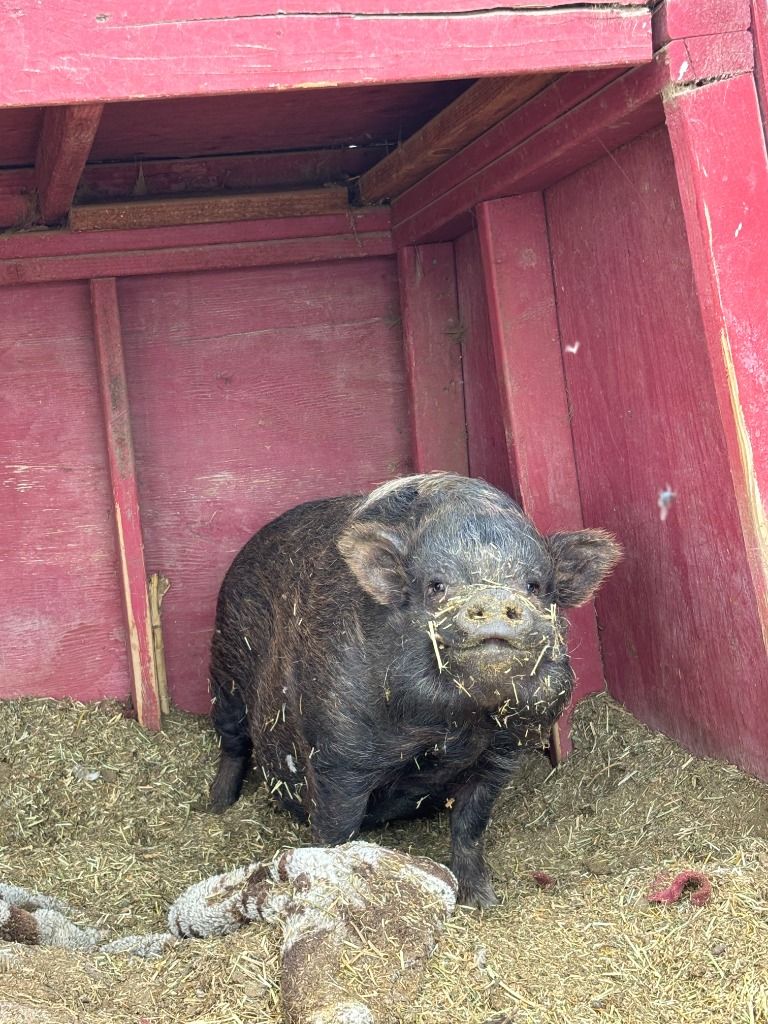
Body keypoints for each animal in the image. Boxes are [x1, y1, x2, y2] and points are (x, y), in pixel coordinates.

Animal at [209, 473, 621, 907]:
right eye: (436, 585)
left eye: (535, 585)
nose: (493, 597)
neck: (450, 728)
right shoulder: (336, 757)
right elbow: (336, 831)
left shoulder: (501, 756)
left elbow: (470, 826)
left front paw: (481, 903)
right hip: (225, 668)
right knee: (232, 743)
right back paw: (216, 805)